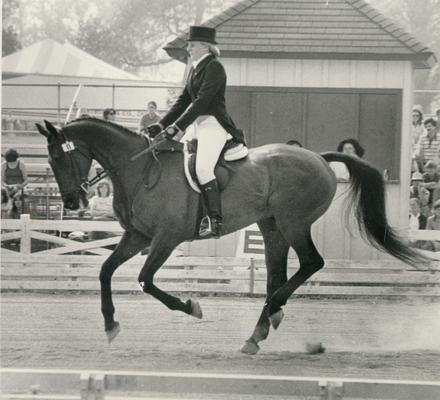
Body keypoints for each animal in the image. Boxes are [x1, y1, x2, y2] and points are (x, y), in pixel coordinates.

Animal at [37, 118, 430, 354]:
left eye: (59, 157)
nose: (71, 201)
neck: (139, 168)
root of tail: (318, 158)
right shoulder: (138, 236)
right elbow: (106, 271)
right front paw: (110, 324)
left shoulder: (165, 238)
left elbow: (146, 281)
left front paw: (192, 307)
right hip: (271, 226)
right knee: (277, 274)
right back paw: (261, 328)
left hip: (292, 222)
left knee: (310, 264)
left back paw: (272, 314)